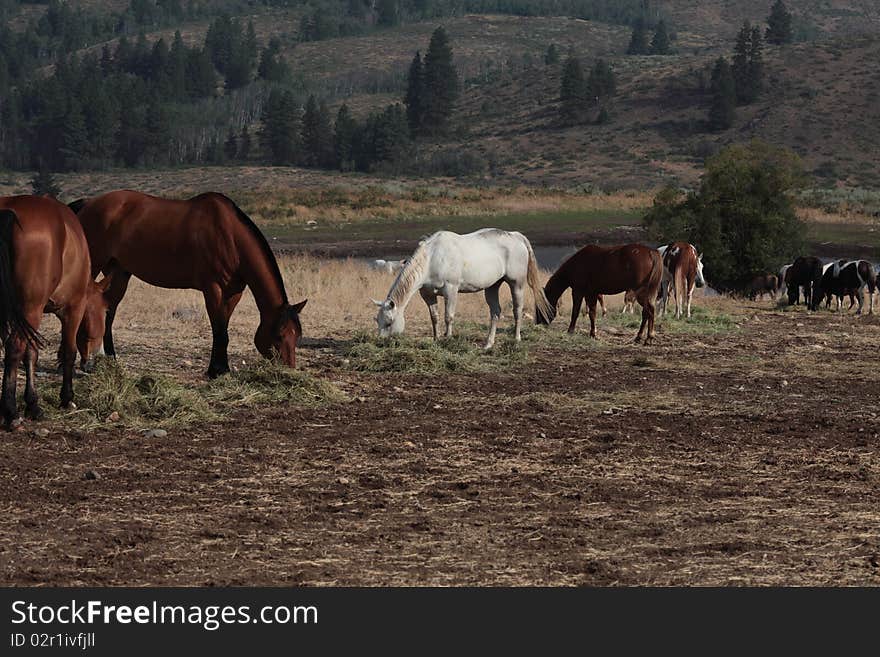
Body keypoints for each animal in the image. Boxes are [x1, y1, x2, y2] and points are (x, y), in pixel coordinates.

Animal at [0, 193, 109, 430]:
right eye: (105, 311)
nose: (94, 362)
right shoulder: (73, 309)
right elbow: (68, 352)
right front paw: (67, 398)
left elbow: (31, 354)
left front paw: (33, 405)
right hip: (31, 309)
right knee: (14, 348)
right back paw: (11, 412)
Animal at [68, 190, 306, 376]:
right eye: (279, 335)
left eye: (298, 336)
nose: (289, 369)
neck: (230, 237)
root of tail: (88, 203)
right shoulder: (213, 289)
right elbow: (218, 329)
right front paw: (215, 370)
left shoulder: (233, 293)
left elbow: (224, 328)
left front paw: (222, 368)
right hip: (95, 265)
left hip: (119, 272)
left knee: (109, 310)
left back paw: (111, 359)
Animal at [372, 228, 552, 348]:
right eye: (377, 321)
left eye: (389, 322)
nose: (381, 342)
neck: (432, 259)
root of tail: (516, 236)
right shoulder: (428, 295)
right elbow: (434, 317)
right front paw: (436, 339)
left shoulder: (451, 290)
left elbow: (448, 316)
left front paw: (448, 338)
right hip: (492, 286)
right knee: (495, 312)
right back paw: (488, 344)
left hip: (517, 284)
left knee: (517, 310)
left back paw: (516, 339)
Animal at [532, 241, 664, 344]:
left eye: (539, 306)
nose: (538, 321)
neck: (576, 264)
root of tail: (651, 252)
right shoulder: (591, 293)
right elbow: (592, 313)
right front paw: (593, 334)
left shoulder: (578, 291)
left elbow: (576, 312)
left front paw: (571, 331)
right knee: (647, 312)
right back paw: (639, 337)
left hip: (640, 292)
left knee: (649, 311)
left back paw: (648, 338)